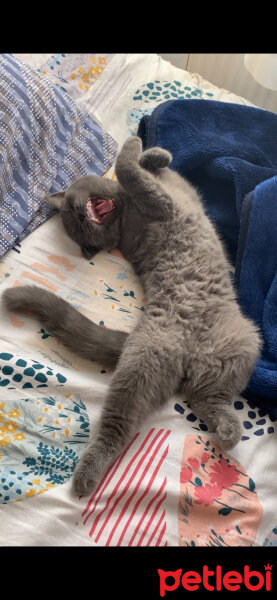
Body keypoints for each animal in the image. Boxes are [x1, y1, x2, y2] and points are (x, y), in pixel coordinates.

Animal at [3, 138, 260, 494]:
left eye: (71, 210)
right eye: (75, 223)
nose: (80, 215)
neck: (123, 209)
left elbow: (139, 168)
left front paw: (154, 155)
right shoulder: (160, 202)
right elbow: (127, 167)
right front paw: (136, 145)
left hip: (240, 344)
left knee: (205, 398)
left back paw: (227, 430)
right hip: (143, 366)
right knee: (120, 423)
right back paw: (87, 476)